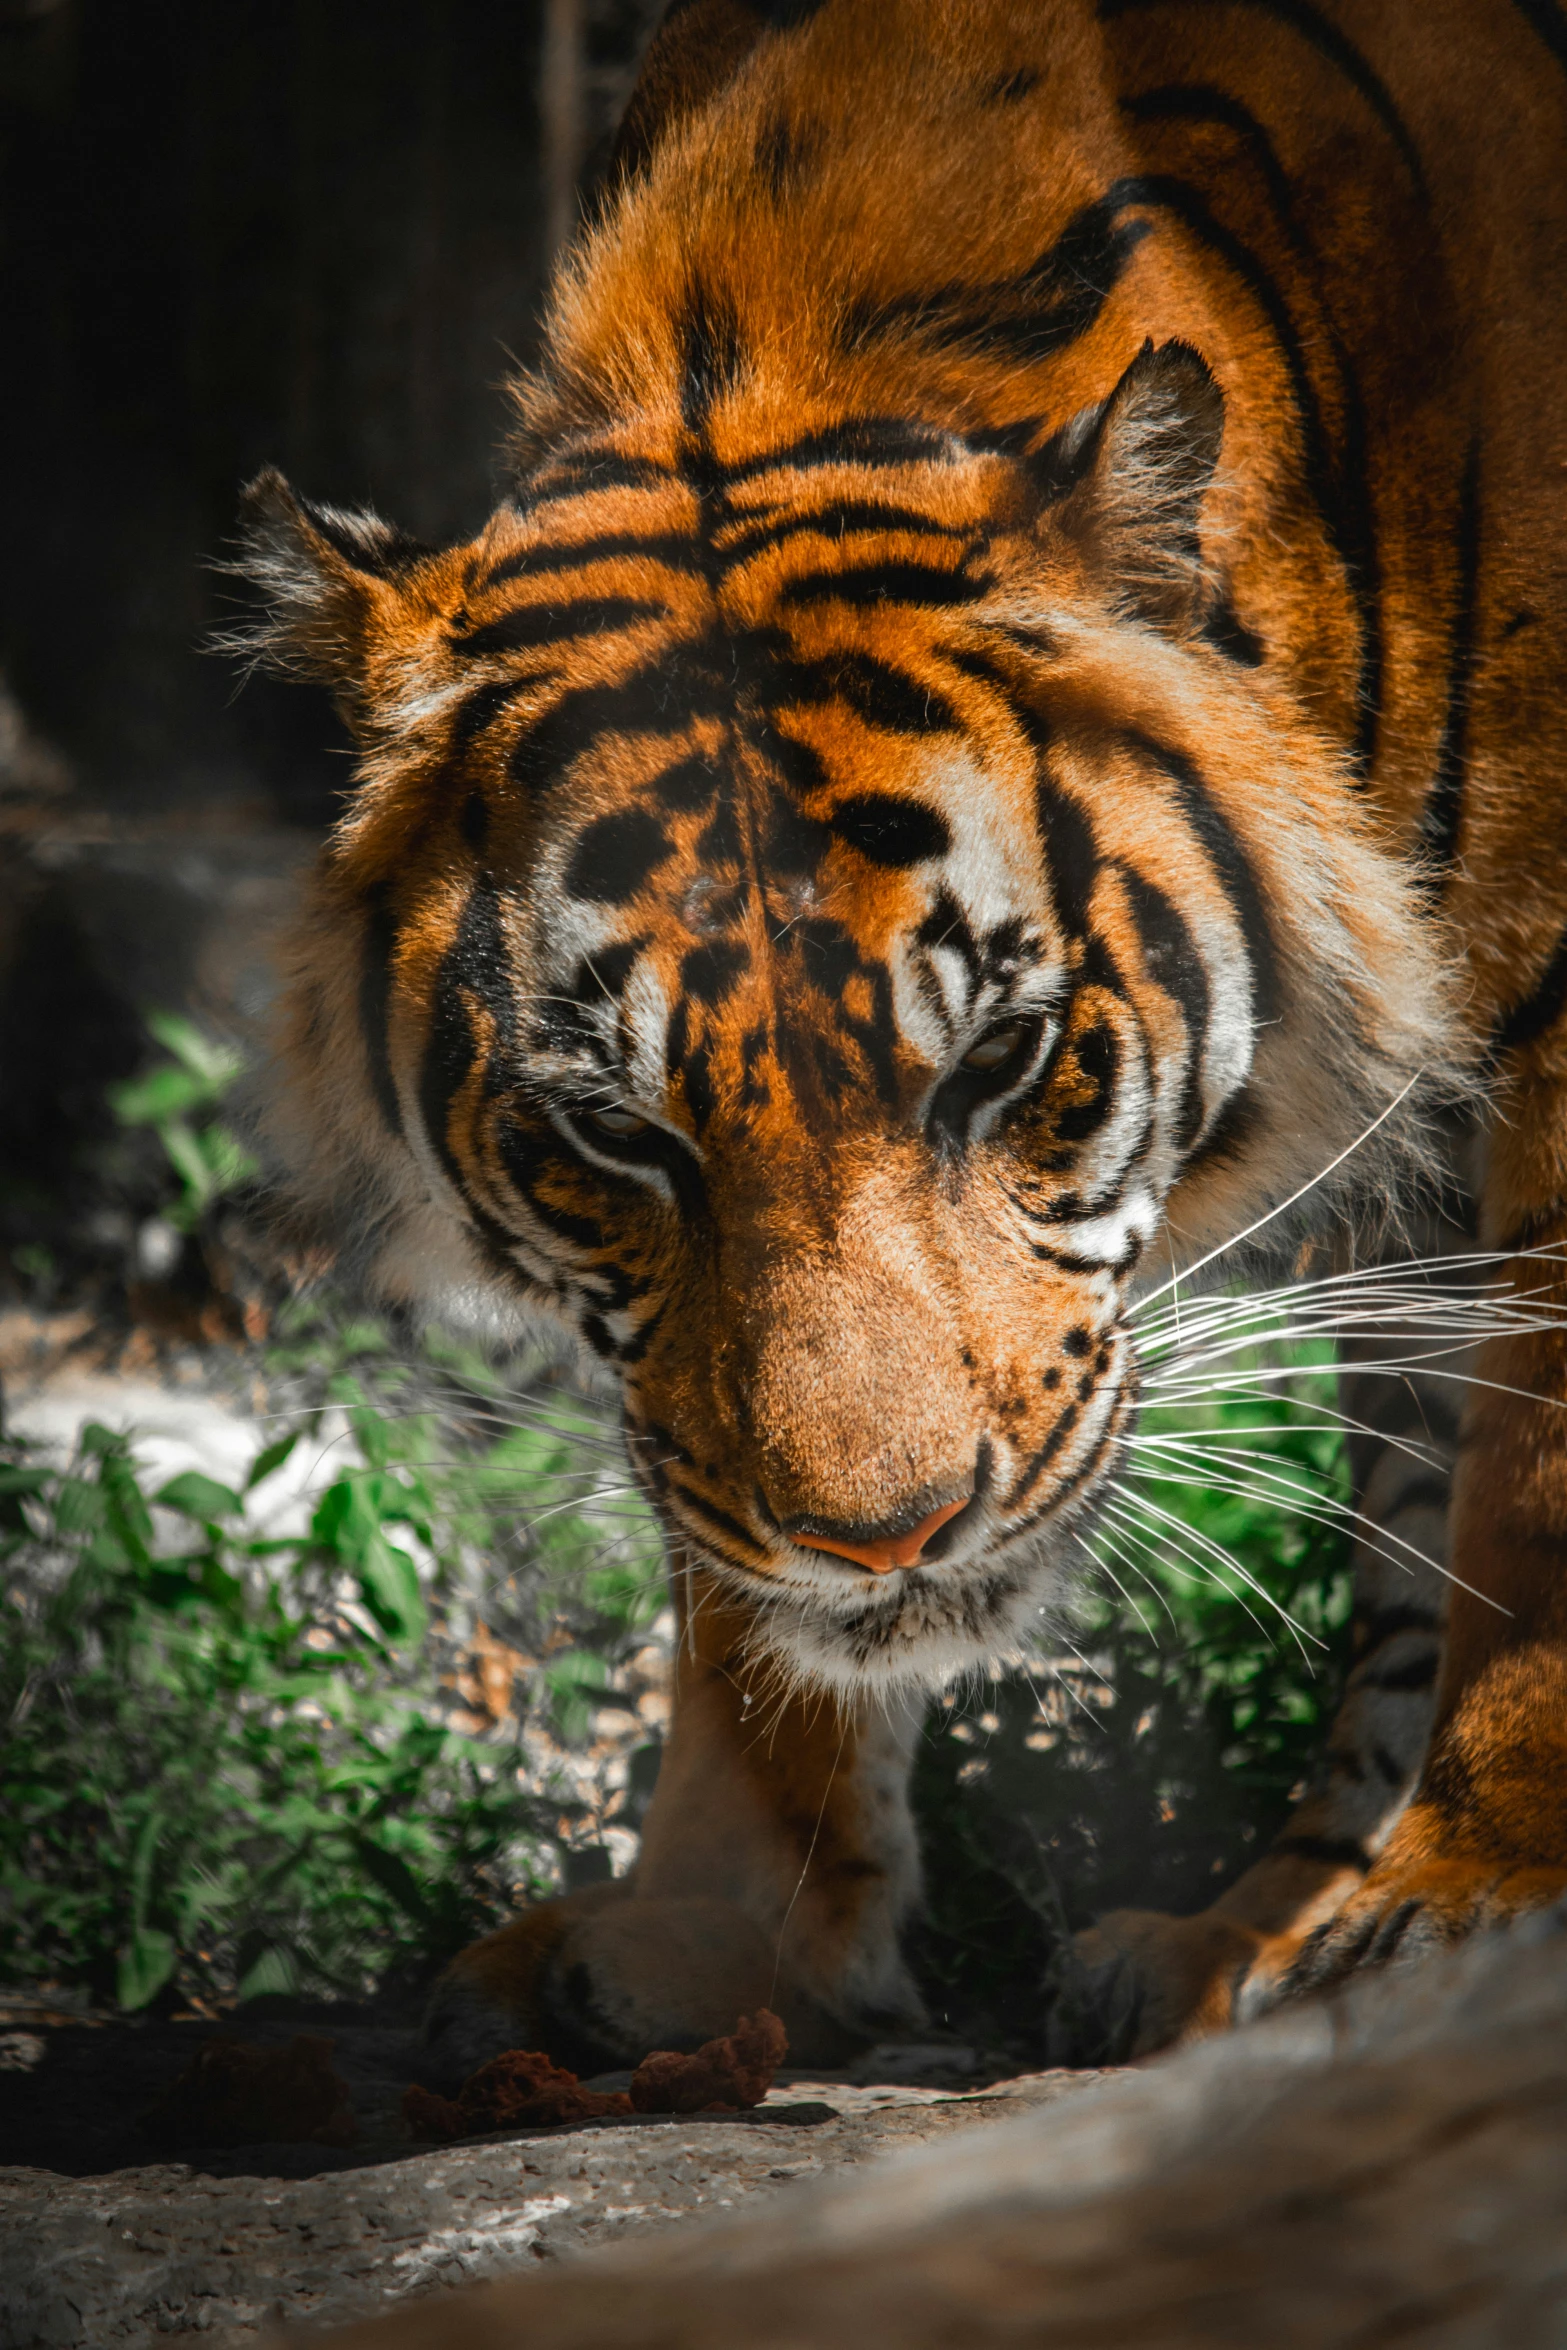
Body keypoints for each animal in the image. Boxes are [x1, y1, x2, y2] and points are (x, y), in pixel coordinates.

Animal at [239, 0, 1567, 2077]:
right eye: (615, 1138)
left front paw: (1477, 1900)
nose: (883, 1545)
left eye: (1004, 1064)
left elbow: (1541, 1494)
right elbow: (719, 1577)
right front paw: (718, 1934)